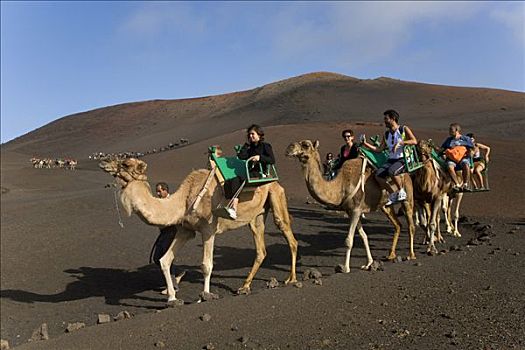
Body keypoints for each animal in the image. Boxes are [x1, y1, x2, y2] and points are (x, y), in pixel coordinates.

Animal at [97, 157, 294, 304]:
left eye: (125, 163)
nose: (103, 162)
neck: (184, 201)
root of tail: (273, 179)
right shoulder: (185, 230)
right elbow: (164, 260)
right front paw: (172, 298)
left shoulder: (208, 230)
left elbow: (206, 265)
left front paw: (204, 296)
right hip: (257, 215)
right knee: (260, 248)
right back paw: (244, 287)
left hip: (276, 195)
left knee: (288, 234)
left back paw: (291, 279)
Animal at [284, 140, 416, 274]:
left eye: (305, 145)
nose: (289, 148)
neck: (340, 186)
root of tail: (407, 174)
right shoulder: (350, 211)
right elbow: (364, 236)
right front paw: (369, 263)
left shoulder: (356, 210)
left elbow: (349, 240)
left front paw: (346, 268)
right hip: (385, 206)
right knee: (397, 225)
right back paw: (391, 255)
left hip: (408, 196)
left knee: (411, 225)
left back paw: (411, 255)